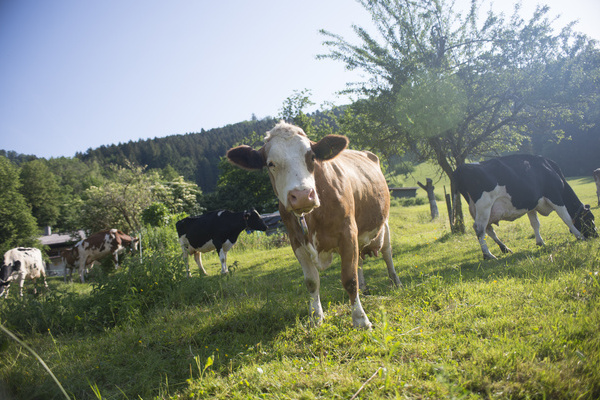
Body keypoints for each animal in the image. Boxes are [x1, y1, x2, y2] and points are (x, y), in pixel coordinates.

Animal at [227, 122, 401, 329]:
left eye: (311, 157)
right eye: (270, 163)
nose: (302, 195)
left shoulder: (347, 233)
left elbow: (349, 279)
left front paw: (360, 319)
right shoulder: (296, 241)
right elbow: (312, 281)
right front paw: (316, 317)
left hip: (385, 223)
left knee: (387, 253)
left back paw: (395, 282)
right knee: (359, 262)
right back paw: (364, 289)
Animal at [453, 154, 598, 260]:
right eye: (590, 219)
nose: (596, 235)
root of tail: (462, 167)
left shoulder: (532, 205)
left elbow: (535, 223)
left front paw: (540, 242)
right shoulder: (555, 196)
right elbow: (567, 219)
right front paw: (579, 236)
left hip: (480, 209)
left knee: (489, 230)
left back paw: (504, 248)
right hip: (484, 205)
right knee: (480, 229)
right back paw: (488, 255)